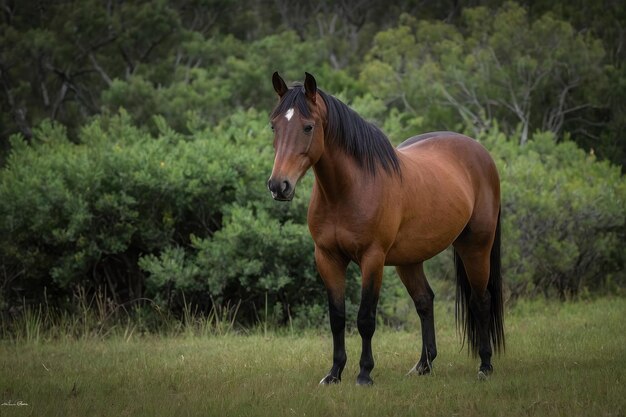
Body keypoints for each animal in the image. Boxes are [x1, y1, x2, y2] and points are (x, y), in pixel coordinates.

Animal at [264, 70, 502, 384]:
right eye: (274, 125)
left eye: (308, 127)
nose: (279, 185)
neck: (348, 190)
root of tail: (480, 152)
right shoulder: (327, 258)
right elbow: (337, 318)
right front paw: (334, 373)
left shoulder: (372, 259)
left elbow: (365, 318)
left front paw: (364, 373)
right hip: (410, 259)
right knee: (425, 301)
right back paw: (423, 365)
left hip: (475, 246)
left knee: (481, 301)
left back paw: (485, 366)